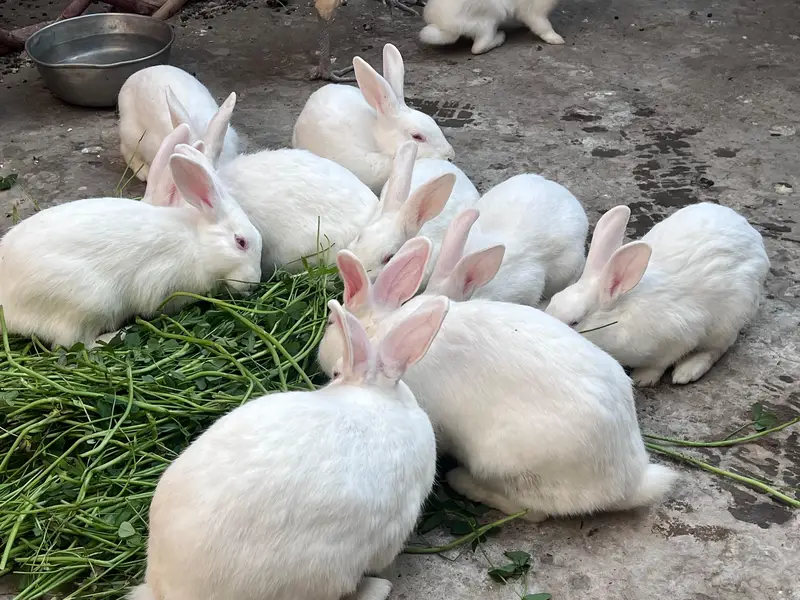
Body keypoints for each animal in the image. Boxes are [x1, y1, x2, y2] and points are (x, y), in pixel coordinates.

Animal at [0, 125, 261, 349]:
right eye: (241, 242)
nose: (255, 281)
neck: (198, 244)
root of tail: (8, 307)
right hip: (90, 303)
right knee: (74, 343)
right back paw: (118, 334)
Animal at [319, 238, 678, 522]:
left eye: (330, 323)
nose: (320, 356)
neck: (384, 330)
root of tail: (630, 481)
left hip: (506, 465)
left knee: (533, 512)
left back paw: (464, 483)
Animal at [420, 0, 564, 55]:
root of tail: (445, 26)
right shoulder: (535, 12)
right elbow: (544, 26)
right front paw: (556, 39)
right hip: (489, 20)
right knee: (478, 47)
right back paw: (500, 37)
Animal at [544, 203, 771, 387]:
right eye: (552, 302)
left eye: (575, 322)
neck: (622, 316)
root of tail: (754, 238)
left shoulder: (680, 336)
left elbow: (660, 363)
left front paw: (642, 378)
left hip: (729, 319)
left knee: (717, 348)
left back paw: (687, 371)